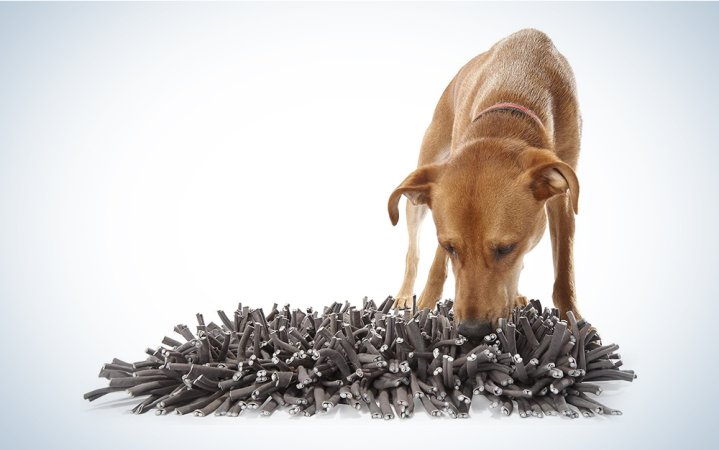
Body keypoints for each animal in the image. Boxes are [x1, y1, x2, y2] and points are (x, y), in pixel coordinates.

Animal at [390, 28, 584, 338]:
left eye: (506, 248)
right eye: (450, 247)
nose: (472, 330)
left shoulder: (564, 196)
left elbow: (564, 269)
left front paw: (575, 322)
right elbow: (436, 267)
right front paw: (424, 311)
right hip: (419, 185)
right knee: (413, 252)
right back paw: (406, 295)